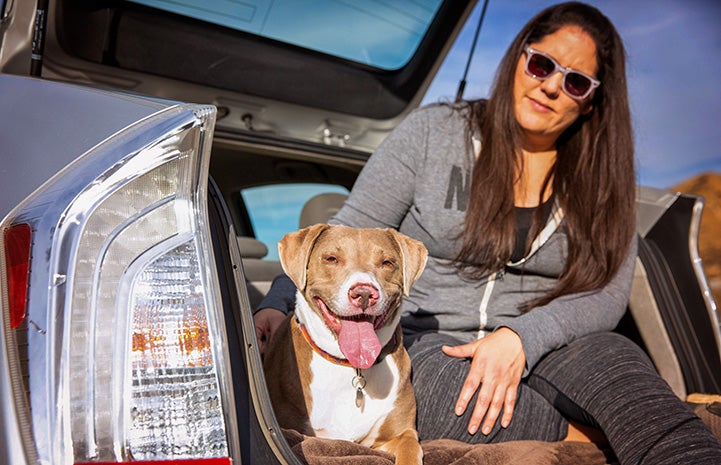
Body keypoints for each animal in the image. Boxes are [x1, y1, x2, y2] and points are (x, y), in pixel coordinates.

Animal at [262, 223, 424, 462]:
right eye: (331, 259)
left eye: (387, 262)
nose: (364, 293)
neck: (350, 366)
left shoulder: (402, 434)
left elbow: (409, 450)